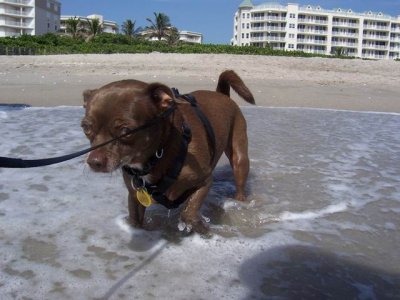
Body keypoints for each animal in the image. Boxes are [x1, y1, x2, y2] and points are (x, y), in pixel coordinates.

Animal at [82, 70, 255, 234]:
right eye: (85, 128)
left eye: (126, 131)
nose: (94, 162)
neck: (157, 155)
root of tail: (221, 94)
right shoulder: (134, 197)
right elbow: (135, 221)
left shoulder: (205, 181)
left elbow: (188, 213)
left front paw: (201, 227)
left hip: (239, 158)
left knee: (240, 183)